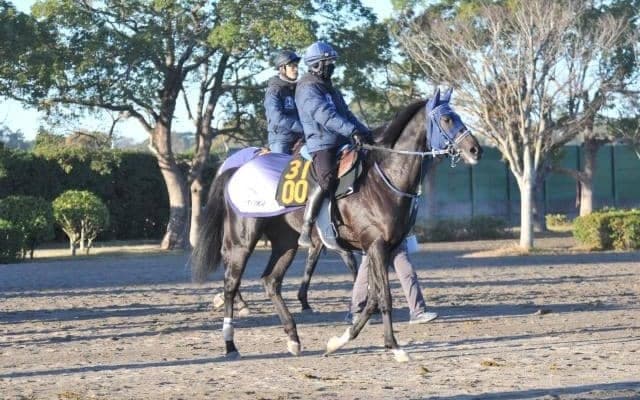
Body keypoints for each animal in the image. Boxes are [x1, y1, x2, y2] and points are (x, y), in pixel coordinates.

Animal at [191, 88, 482, 362]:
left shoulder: (383, 248)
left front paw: (339, 341)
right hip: (242, 241)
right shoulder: (375, 247)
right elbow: (383, 297)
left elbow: (372, 298)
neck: (383, 178)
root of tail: (235, 169)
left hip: (286, 243)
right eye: (447, 118)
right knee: (231, 284)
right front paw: (395, 347)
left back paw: (293, 338)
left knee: (271, 281)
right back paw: (230, 344)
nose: (474, 150)